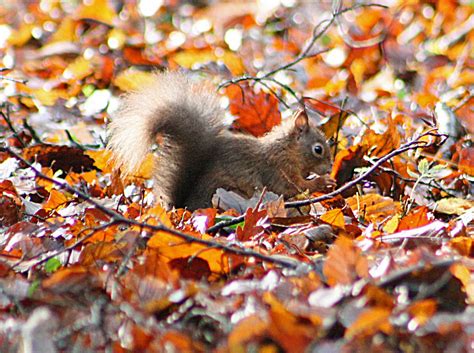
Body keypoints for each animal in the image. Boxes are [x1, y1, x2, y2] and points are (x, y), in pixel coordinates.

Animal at [109, 71, 336, 209]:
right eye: (318, 149)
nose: (329, 168)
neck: (287, 150)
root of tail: (186, 206)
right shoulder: (278, 170)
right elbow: (294, 187)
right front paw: (323, 181)